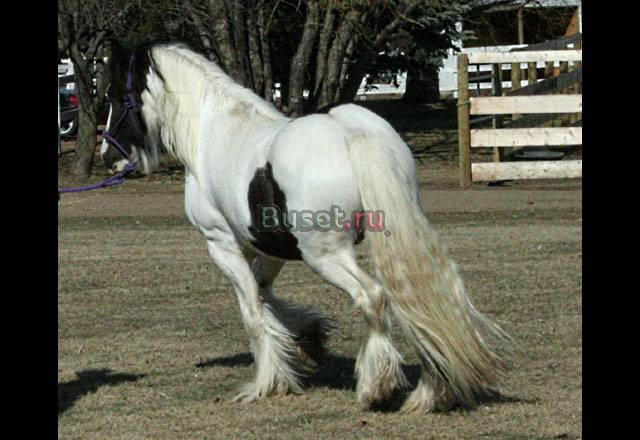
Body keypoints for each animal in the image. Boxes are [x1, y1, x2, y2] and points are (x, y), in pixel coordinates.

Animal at [101, 41, 510, 413]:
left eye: (115, 95)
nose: (108, 158)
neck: (214, 133)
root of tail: (352, 133)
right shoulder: (272, 250)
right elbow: (265, 294)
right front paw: (308, 339)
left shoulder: (223, 246)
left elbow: (252, 311)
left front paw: (267, 382)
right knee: (416, 300)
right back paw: (430, 392)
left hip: (325, 256)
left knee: (374, 297)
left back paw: (375, 388)